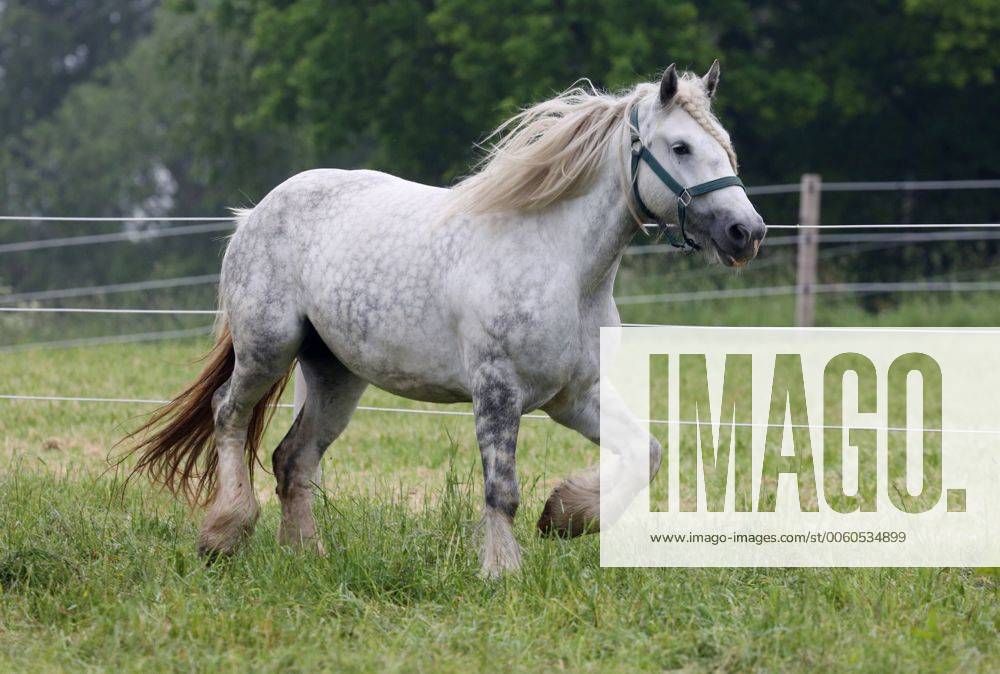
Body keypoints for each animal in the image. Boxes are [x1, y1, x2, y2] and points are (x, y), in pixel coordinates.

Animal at [125, 61, 766, 578]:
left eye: (727, 144)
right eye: (680, 147)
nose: (747, 232)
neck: (559, 262)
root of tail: (253, 213)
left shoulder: (574, 395)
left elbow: (645, 453)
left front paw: (564, 516)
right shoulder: (497, 391)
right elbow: (501, 491)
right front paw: (502, 572)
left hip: (336, 376)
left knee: (293, 458)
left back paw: (305, 556)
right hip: (267, 348)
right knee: (228, 416)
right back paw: (223, 534)